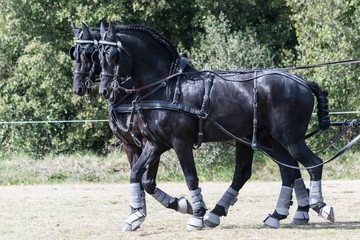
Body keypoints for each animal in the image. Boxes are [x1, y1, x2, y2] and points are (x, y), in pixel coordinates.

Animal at [96, 22, 334, 231]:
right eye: (98, 56)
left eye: (114, 55)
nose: (105, 90)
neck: (166, 87)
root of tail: (303, 82)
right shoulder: (155, 144)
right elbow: (138, 175)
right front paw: (137, 215)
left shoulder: (180, 143)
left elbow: (190, 177)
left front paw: (196, 215)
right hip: (272, 141)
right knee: (287, 171)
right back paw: (276, 216)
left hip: (290, 139)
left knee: (313, 164)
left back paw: (319, 206)